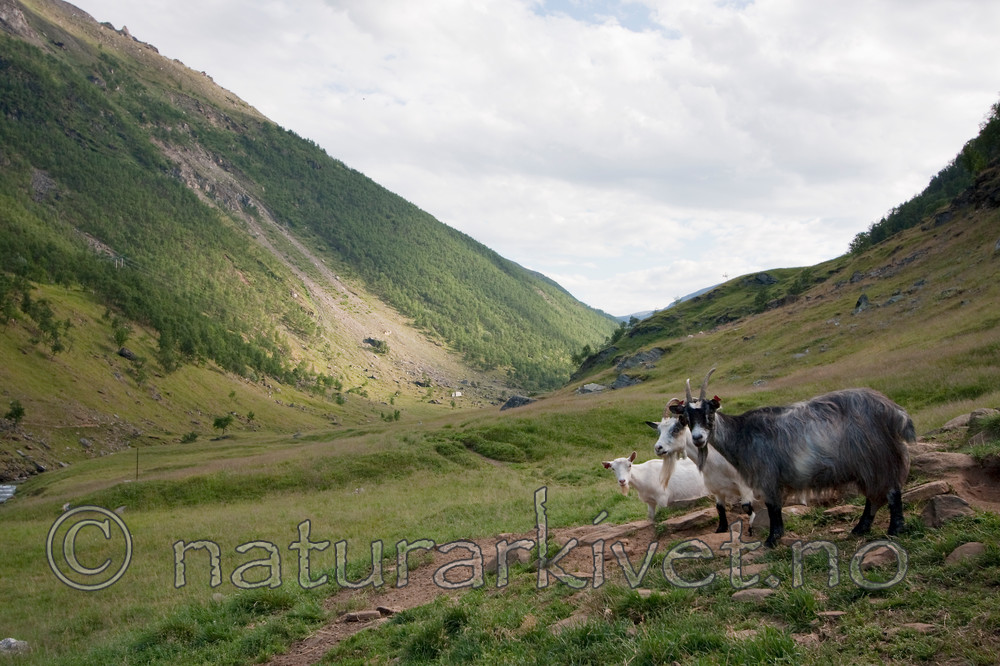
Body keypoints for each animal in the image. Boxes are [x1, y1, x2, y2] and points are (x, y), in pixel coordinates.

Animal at [670, 368, 913, 547]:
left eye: (709, 412)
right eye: (686, 418)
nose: (698, 438)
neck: (742, 433)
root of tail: (893, 411)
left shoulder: (767, 475)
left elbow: (772, 507)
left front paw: (772, 540)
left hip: (878, 458)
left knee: (890, 492)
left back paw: (894, 529)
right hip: (868, 464)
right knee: (874, 497)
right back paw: (860, 529)